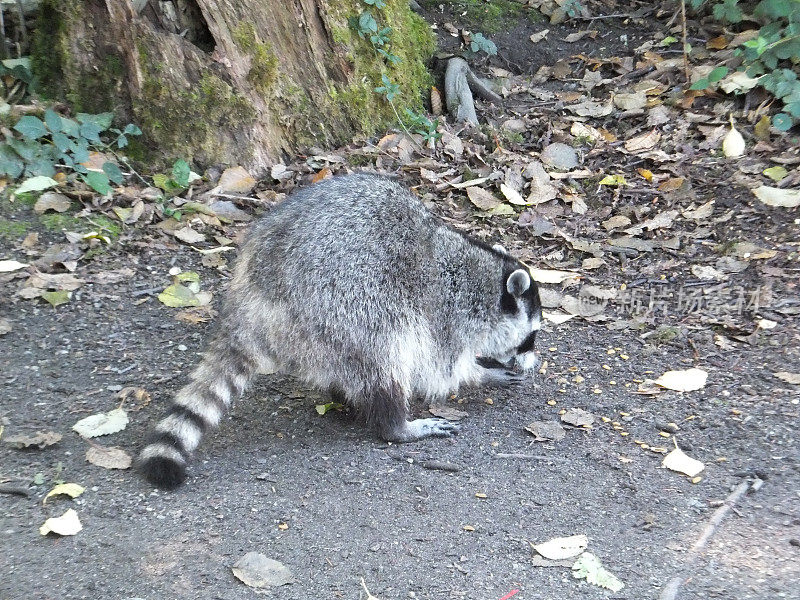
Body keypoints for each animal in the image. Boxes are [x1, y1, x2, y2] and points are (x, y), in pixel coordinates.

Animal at [141, 172, 544, 488]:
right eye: (530, 337)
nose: (533, 362)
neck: (483, 278)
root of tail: (252, 293)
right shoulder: (444, 310)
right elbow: (440, 369)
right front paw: (481, 373)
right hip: (343, 304)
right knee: (387, 352)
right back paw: (396, 425)